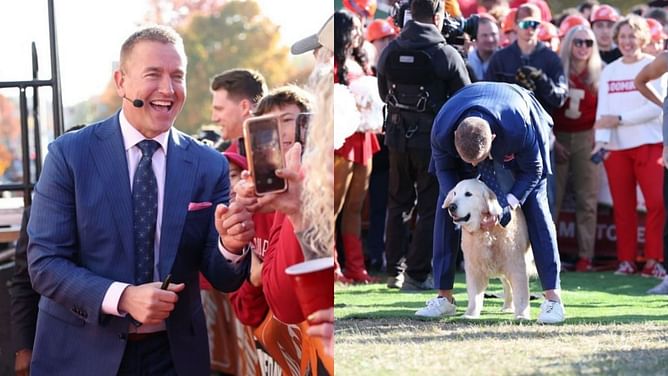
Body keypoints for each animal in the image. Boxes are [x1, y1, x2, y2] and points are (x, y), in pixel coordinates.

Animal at [444, 178, 532, 318]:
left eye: (468, 194)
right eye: (454, 193)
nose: (451, 207)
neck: (487, 232)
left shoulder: (516, 265)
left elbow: (521, 292)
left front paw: (522, 315)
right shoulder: (473, 267)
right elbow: (474, 295)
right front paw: (470, 314)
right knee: (507, 285)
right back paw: (507, 307)